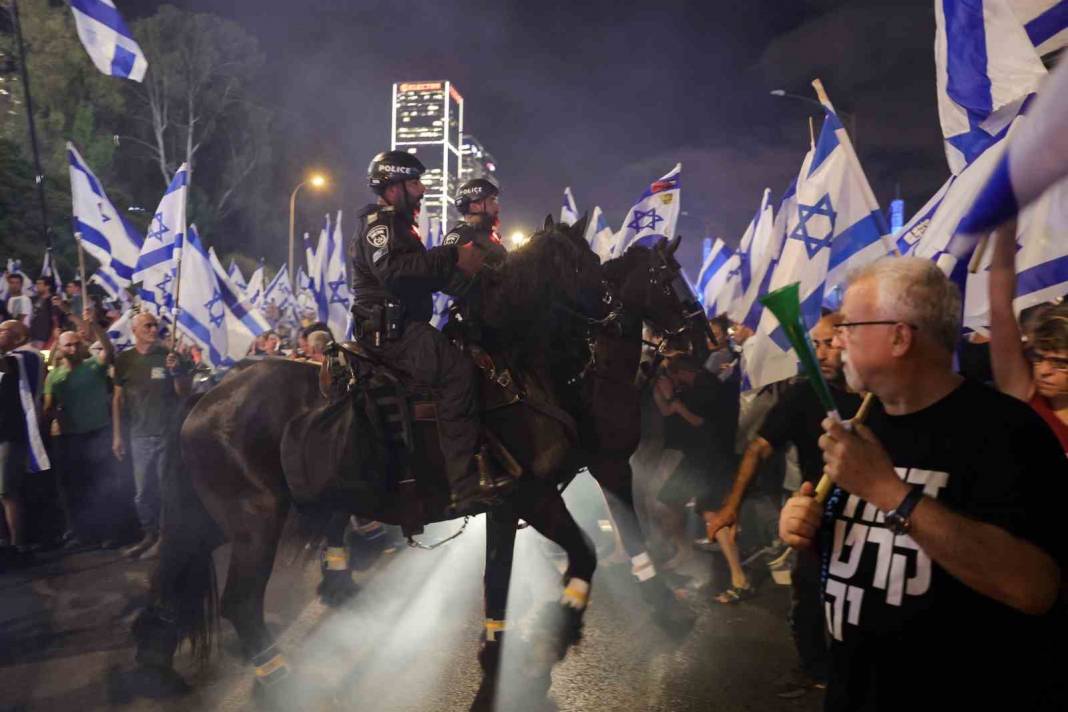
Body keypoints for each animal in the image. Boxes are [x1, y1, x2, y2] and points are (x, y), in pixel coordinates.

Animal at [129, 214, 615, 704]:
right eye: (588, 261)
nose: (613, 310)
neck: (511, 371)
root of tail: (209, 395)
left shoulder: (506, 507)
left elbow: (497, 583)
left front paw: (496, 658)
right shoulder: (533, 496)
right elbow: (583, 555)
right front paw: (562, 624)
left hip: (207, 521)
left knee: (171, 577)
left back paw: (155, 667)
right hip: (254, 522)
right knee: (240, 602)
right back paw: (278, 681)